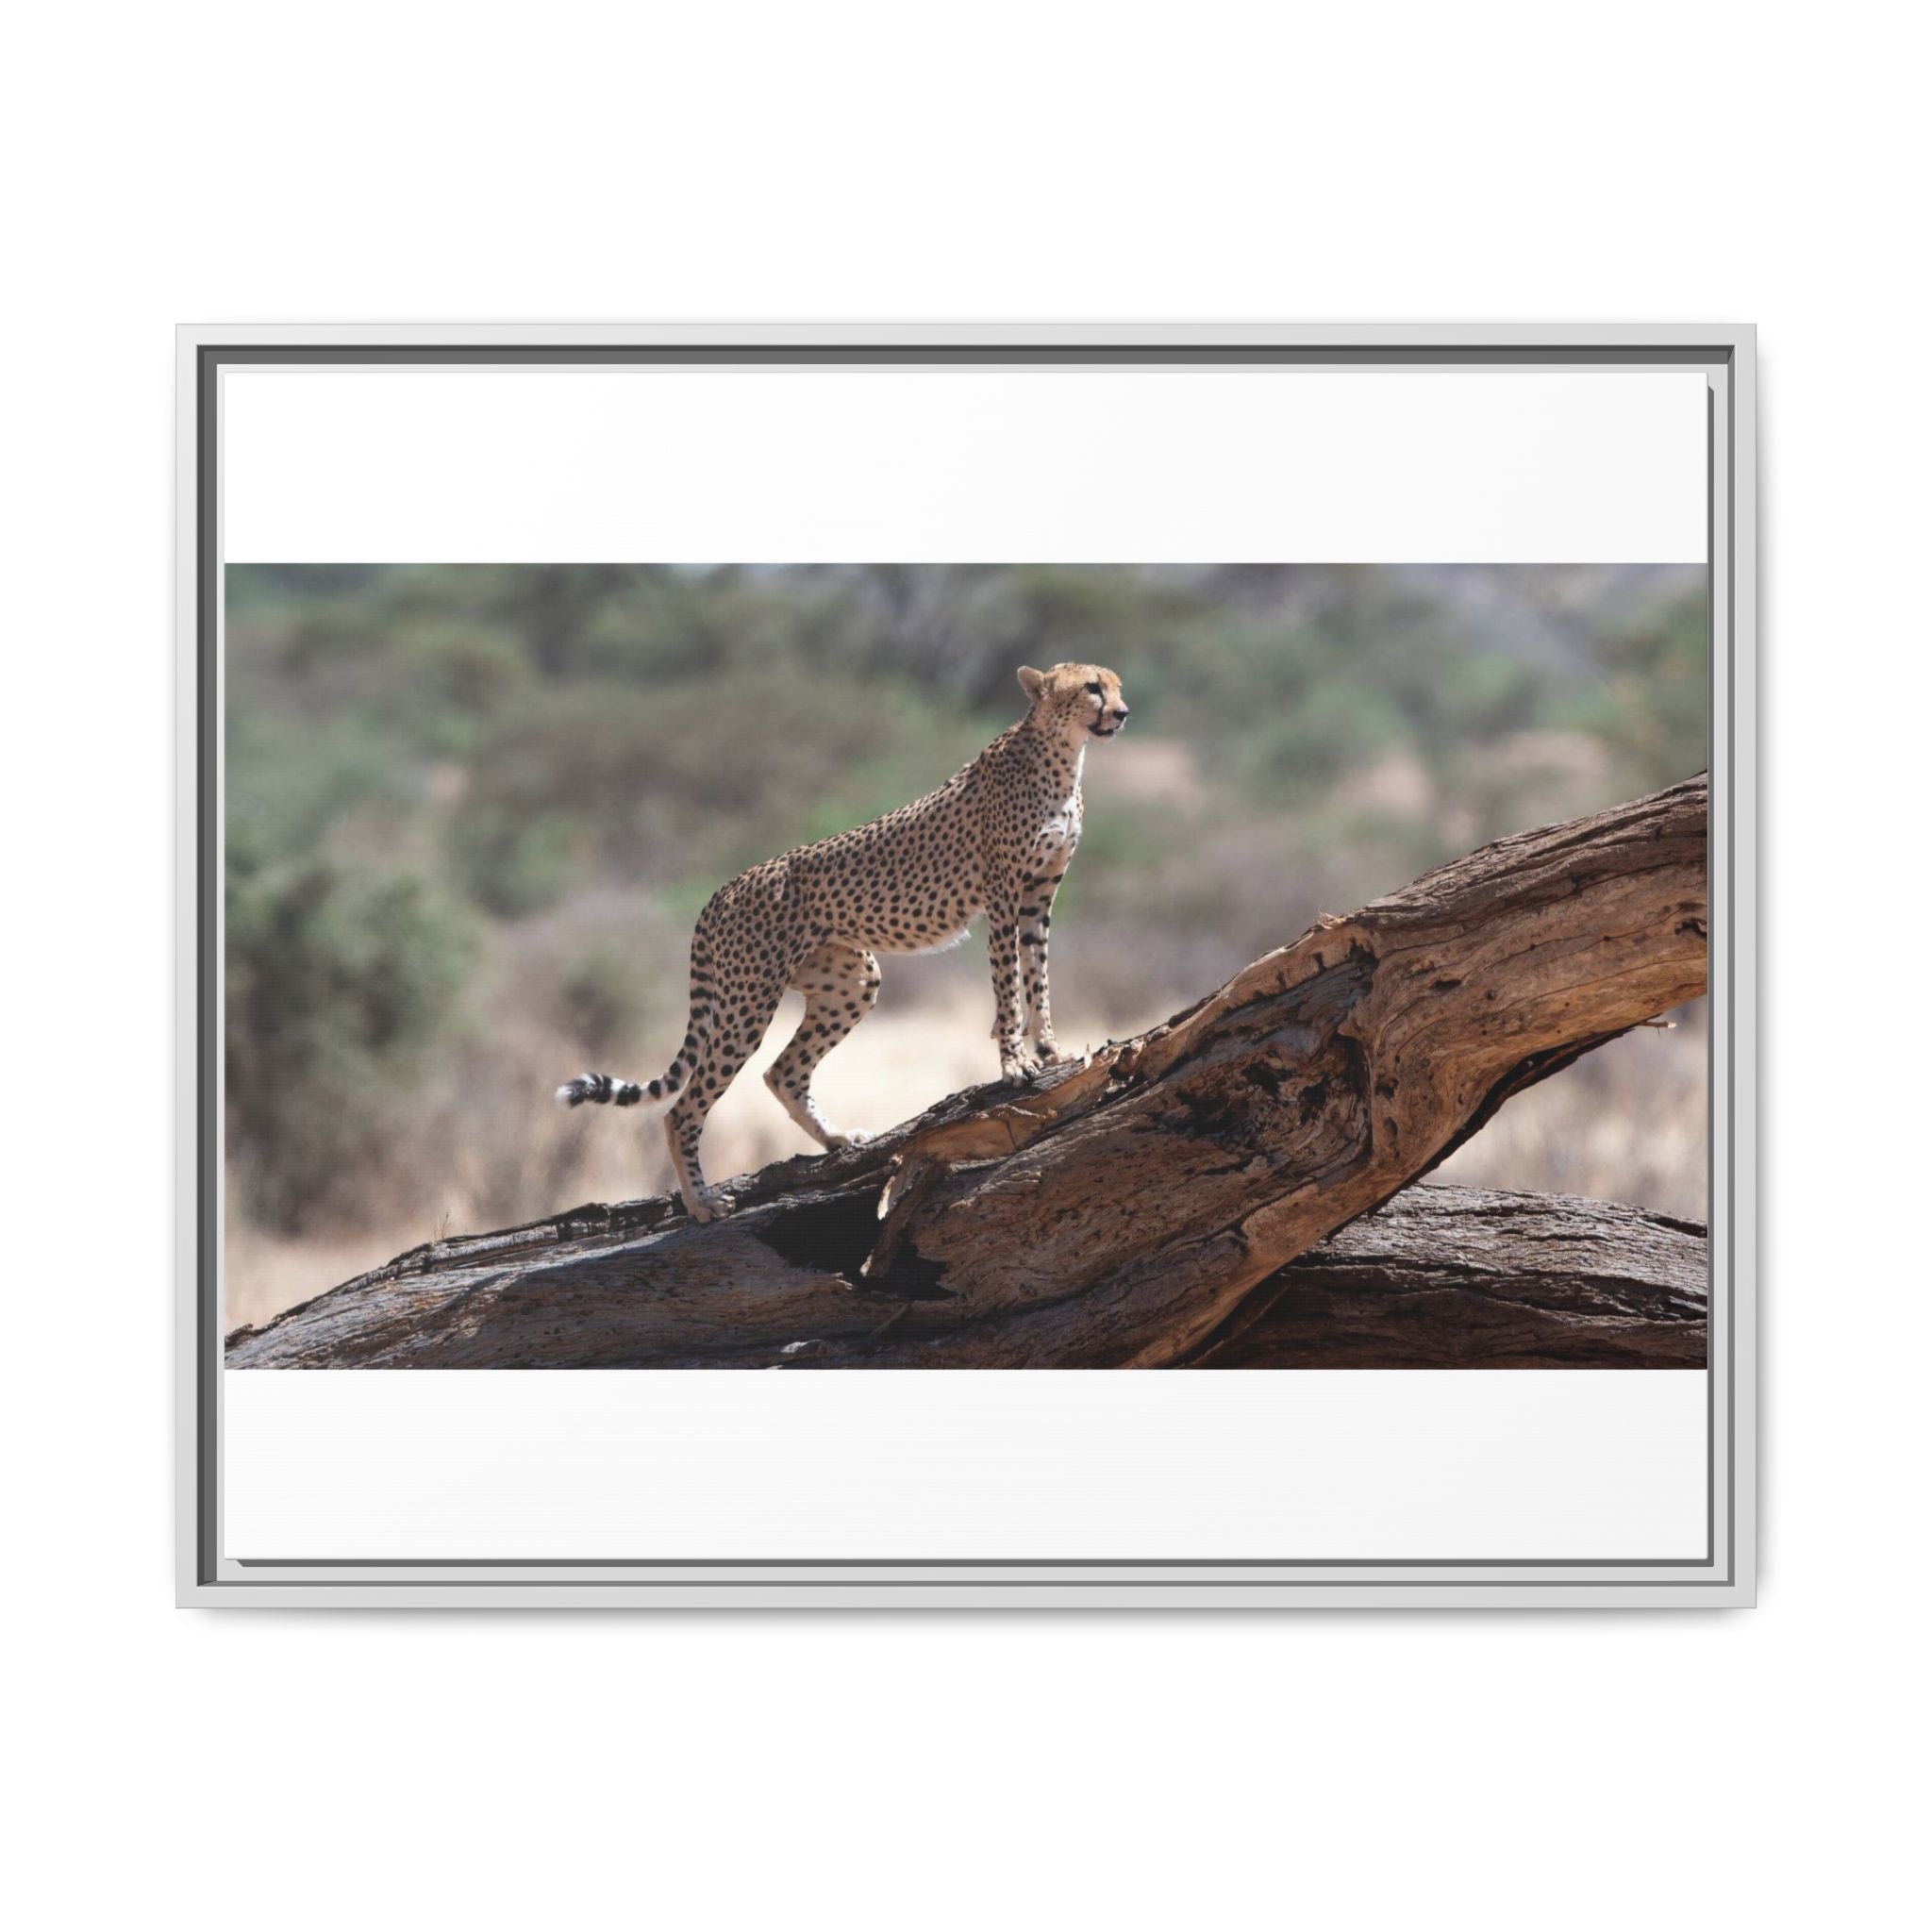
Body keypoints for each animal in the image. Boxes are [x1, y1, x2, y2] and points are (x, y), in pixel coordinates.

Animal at [556, 661, 1131, 1221]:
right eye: (1091, 688)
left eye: (1116, 685)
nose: (1123, 713)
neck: (1063, 754)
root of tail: (724, 889)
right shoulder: (1004, 895)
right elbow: (1008, 984)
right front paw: (1014, 1063)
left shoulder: (1038, 896)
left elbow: (1038, 976)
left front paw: (1051, 1049)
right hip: (748, 999)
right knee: (684, 1107)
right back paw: (702, 1203)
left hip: (851, 980)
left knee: (783, 1072)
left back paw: (837, 1139)